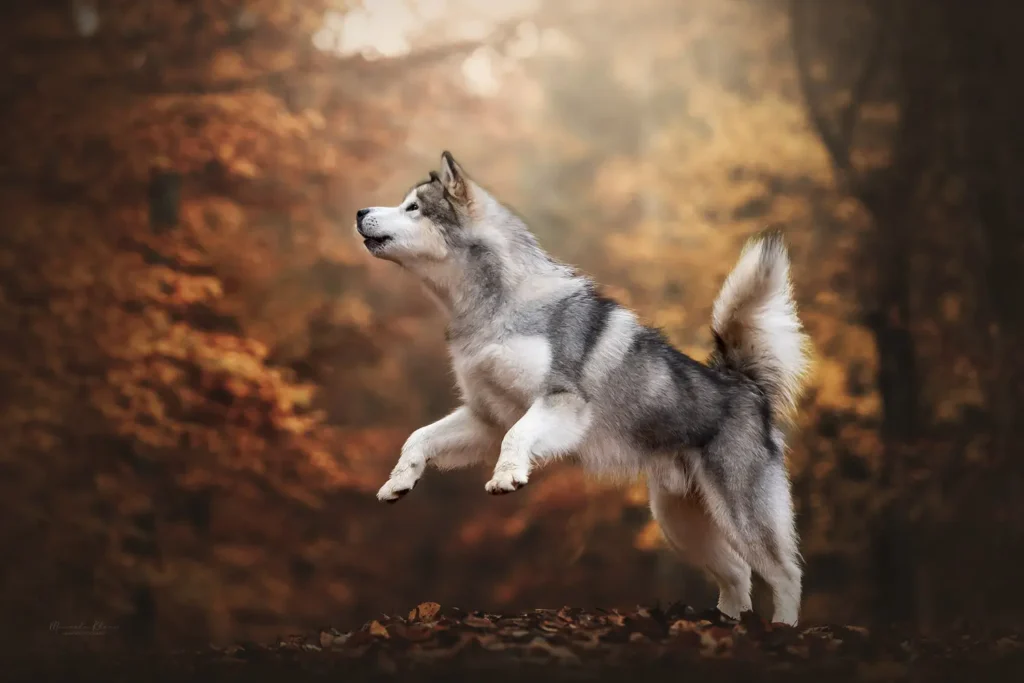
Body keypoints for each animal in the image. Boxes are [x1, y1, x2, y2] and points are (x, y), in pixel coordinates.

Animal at [356, 150, 811, 626]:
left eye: (413, 207)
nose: (360, 212)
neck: (493, 308)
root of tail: (743, 382)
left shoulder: (561, 404)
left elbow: (518, 436)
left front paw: (507, 476)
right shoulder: (485, 417)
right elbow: (418, 438)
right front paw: (398, 481)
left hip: (741, 512)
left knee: (785, 574)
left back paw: (782, 628)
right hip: (680, 522)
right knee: (738, 574)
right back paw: (725, 624)